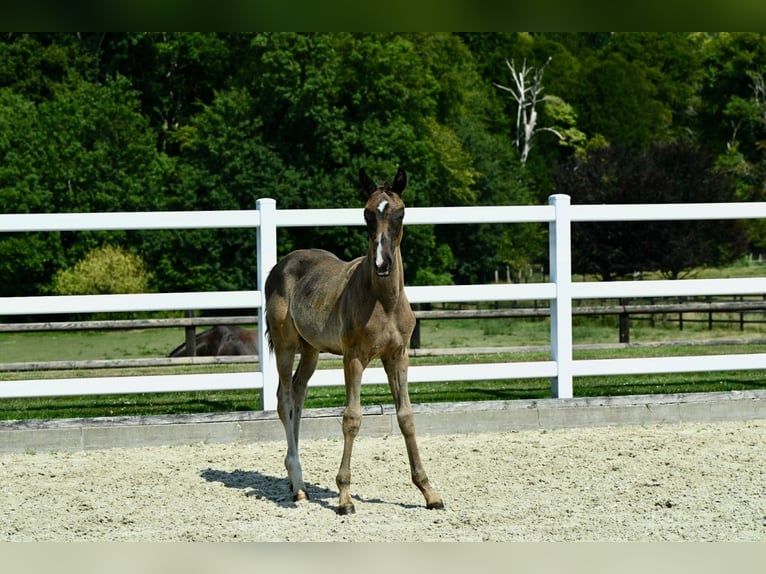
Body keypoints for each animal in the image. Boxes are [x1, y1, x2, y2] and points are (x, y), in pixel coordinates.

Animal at [264, 169, 444, 516]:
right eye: (366, 213)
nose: (382, 264)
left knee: (299, 394)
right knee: (285, 399)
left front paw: (429, 492)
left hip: (311, 350)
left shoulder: (397, 356)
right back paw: (298, 484)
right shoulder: (354, 358)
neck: (384, 301)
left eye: (400, 213)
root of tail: (281, 265)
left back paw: (296, 483)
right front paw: (345, 498)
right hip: (285, 345)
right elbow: (351, 418)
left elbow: (406, 417)